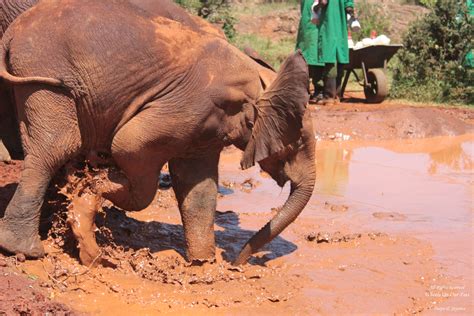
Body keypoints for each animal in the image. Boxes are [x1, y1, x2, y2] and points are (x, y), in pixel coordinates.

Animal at [1, 0, 316, 266]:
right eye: (297, 143)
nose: (237, 261)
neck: (257, 80)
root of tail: (12, 32)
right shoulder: (191, 104)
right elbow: (129, 143)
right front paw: (96, 187)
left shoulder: (207, 126)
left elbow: (198, 186)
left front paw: (204, 267)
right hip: (46, 77)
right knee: (55, 148)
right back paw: (26, 250)